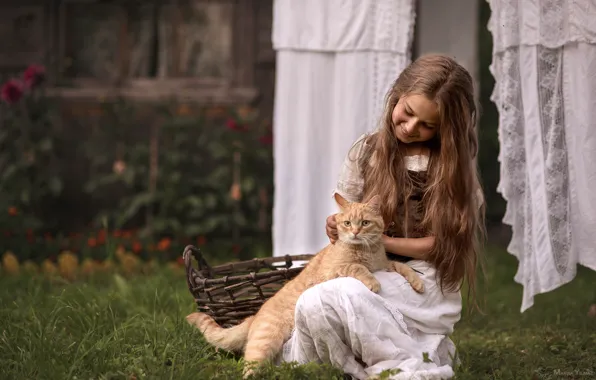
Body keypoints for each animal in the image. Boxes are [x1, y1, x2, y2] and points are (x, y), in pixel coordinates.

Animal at [186, 193, 424, 378]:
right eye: (347, 223)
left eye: (364, 223)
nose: (355, 232)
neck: (368, 251)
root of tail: (255, 315)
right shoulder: (338, 269)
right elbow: (357, 268)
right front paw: (373, 283)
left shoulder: (385, 265)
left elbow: (402, 267)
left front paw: (418, 282)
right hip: (265, 342)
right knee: (248, 367)